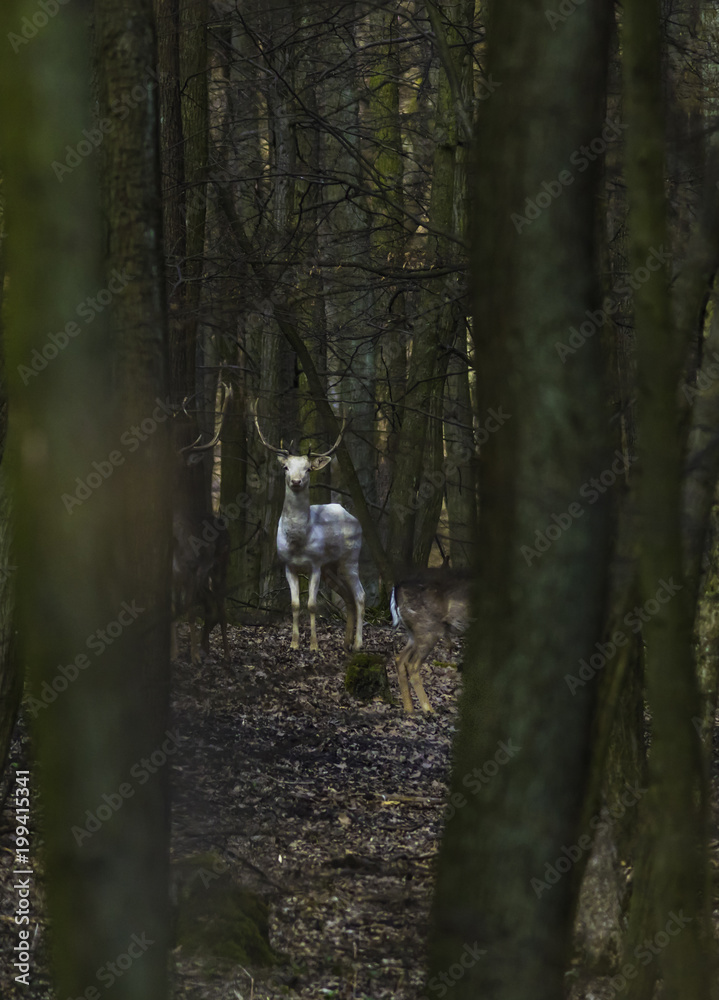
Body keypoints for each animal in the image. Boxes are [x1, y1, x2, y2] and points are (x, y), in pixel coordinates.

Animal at [253, 400, 364, 652]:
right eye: (286, 468)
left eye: (308, 468)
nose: (296, 481)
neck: (298, 541)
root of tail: (353, 517)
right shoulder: (288, 565)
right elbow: (295, 605)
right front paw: (294, 644)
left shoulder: (315, 564)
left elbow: (312, 605)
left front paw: (313, 646)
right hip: (332, 567)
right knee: (348, 597)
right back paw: (345, 642)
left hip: (351, 559)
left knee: (360, 596)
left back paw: (358, 644)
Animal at [391, 568, 472, 713]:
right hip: (428, 628)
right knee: (412, 664)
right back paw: (428, 710)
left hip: (414, 633)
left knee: (400, 659)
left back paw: (410, 710)